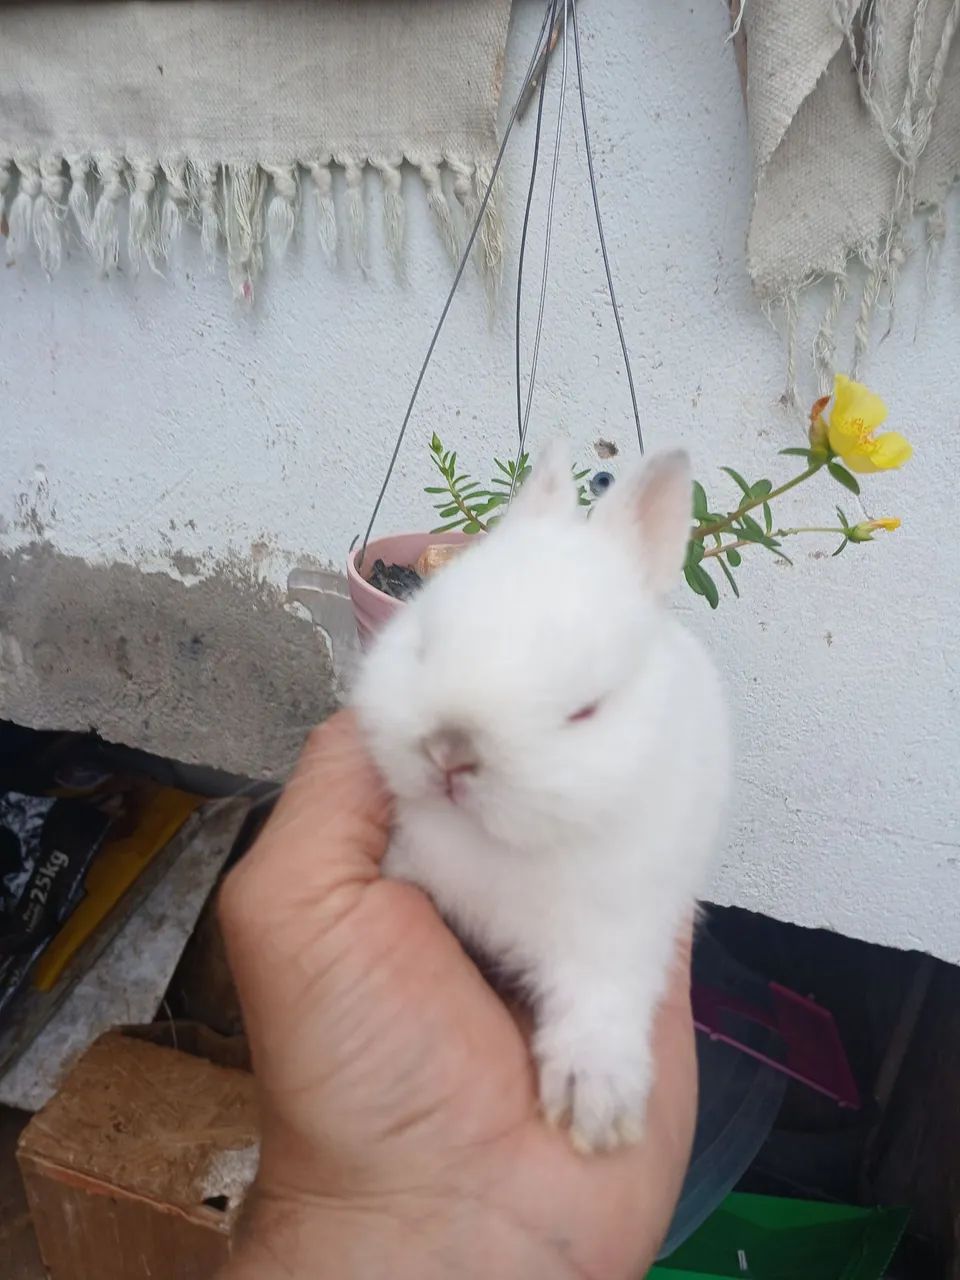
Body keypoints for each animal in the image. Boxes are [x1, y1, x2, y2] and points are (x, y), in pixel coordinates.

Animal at [353, 445, 729, 1153]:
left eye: (586, 710)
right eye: (422, 645)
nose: (450, 750)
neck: (496, 846)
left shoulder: (617, 929)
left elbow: (600, 1002)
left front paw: (595, 1107)